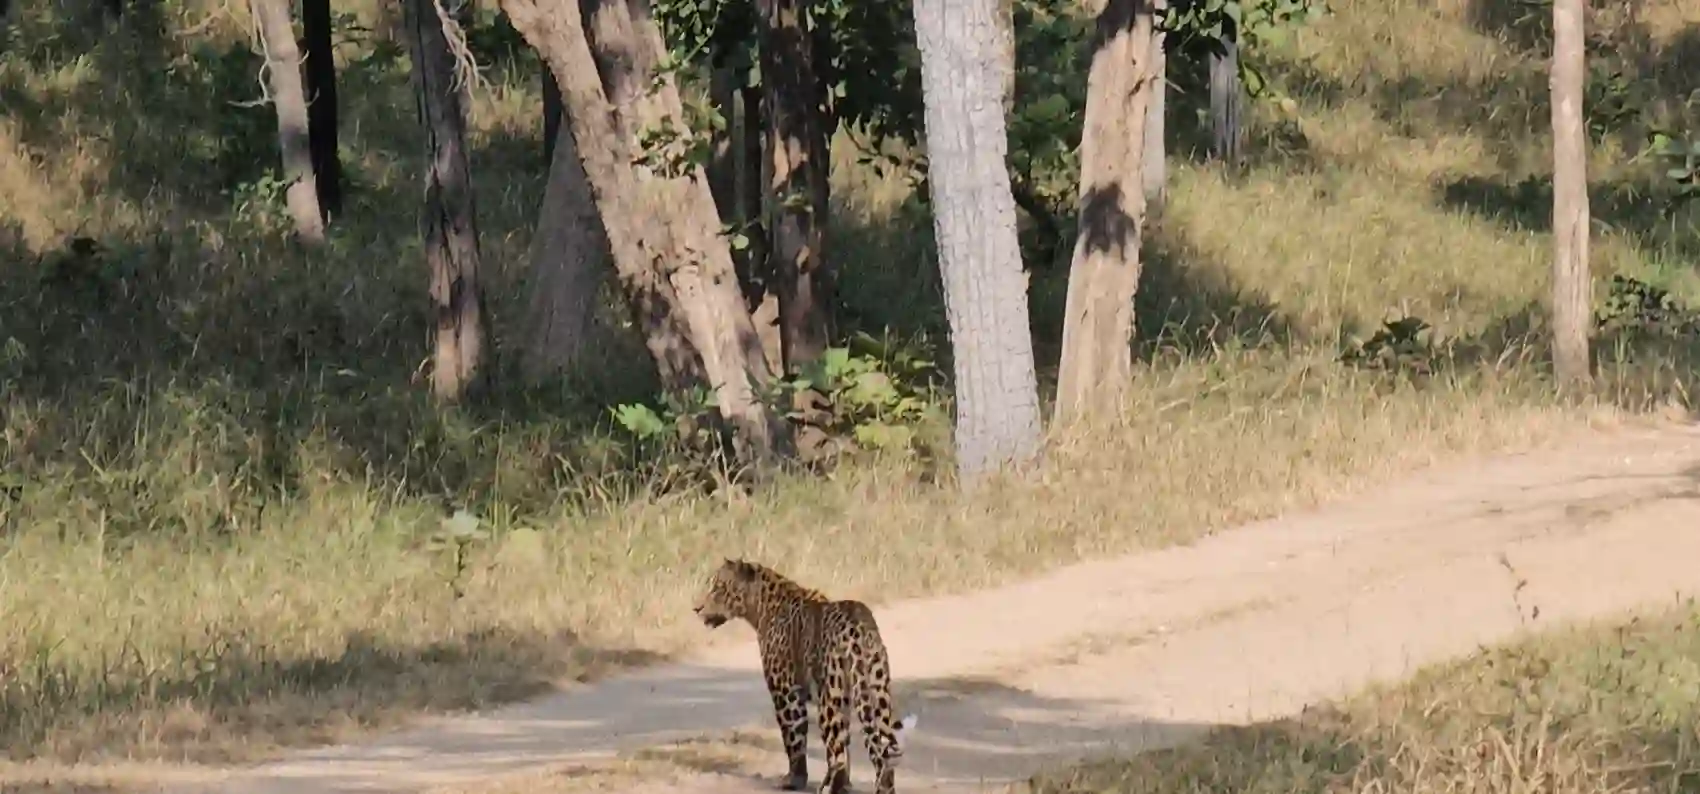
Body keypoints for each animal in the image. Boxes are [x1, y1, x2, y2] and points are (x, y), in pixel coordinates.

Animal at [693, 558, 918, 794]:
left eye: (718, 588)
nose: (696, 608)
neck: (759, 607)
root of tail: (859, 628)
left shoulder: (785, 690)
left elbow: (794, 736)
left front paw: (795, 779)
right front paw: (845, 784)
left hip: (830, 701)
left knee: (838, 749)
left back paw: (832, 788)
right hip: (877, 692)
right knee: (881, 749)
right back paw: (880, 787)